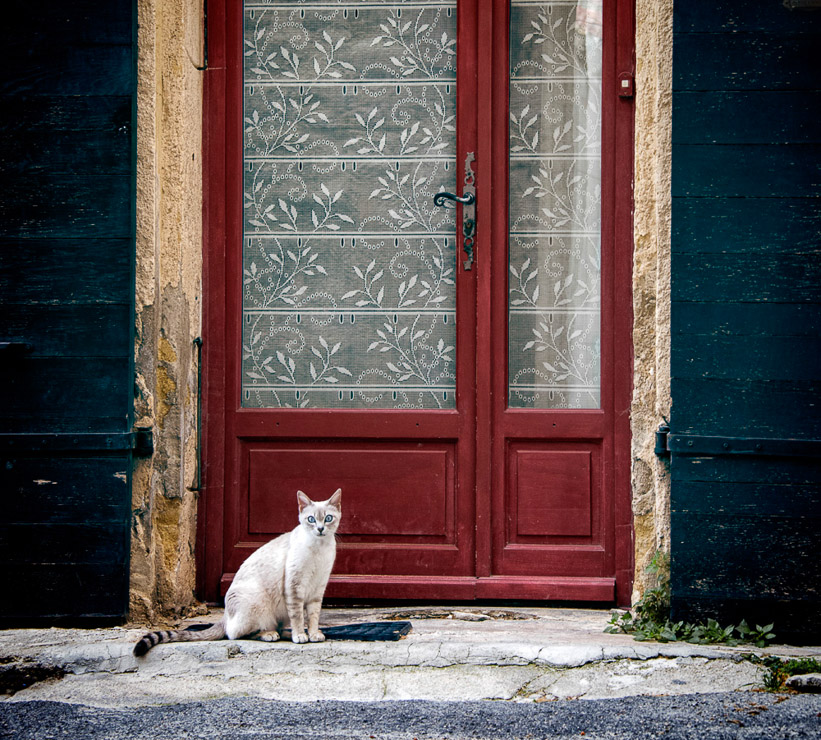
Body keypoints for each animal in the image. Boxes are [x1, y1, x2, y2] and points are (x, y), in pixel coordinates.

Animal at [135, 488, 340, 656]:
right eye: (311, 519)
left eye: (328, 518)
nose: (320, 529)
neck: (320, 548)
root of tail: (225, 616)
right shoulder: (295, 587)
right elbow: (298, 616)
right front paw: (300, 636)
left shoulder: (317, 590)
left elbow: (313, 617)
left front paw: (313, 634)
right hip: (258, 605)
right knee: (235, 634)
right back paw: (270, 634)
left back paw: (284, 632)